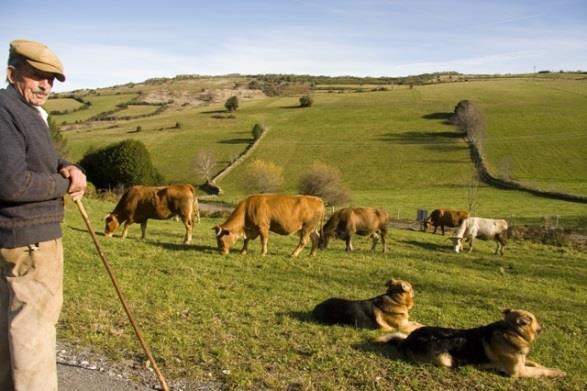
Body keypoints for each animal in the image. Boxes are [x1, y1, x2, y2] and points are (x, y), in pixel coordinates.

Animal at [376, 310, 564, 380]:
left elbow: (535, 363)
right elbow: (542, 370)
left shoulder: (522, 362)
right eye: (535, 321)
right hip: (445, 359)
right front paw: (558, 372)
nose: (542, 327)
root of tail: (408, 340)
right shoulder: (519, 372)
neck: (510, 331)